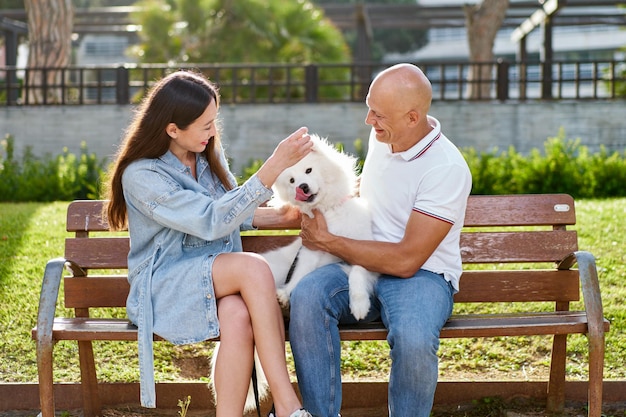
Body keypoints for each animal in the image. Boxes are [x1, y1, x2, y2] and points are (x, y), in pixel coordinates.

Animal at [210, 134, 376, 412]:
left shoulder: (364, 251)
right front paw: (286, 293)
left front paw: (360, 304)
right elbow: (300, 274)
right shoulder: (310, 252)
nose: (304, 187)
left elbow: (357, 272)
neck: (328, 213)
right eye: (291, 181)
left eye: (308, 171)